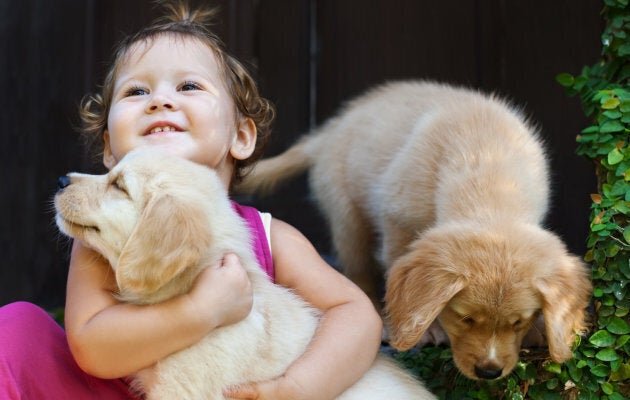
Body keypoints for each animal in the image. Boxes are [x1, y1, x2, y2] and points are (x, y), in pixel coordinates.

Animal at [239, 79, 596, 380]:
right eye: (464, 318)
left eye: (518, 322)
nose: (489, 372)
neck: (490, 172)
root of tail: (331, 131)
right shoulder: (396, 218)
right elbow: (399, 271)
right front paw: (424, 329)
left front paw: (542, 329)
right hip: (348, 214)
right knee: (359, 271)